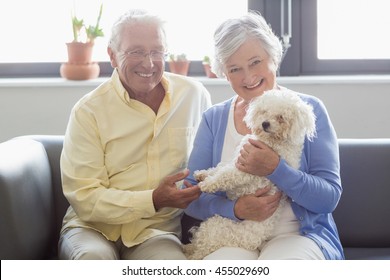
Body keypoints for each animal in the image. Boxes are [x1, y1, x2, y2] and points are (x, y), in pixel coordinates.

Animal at [184, 88, 316, 260]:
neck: (271, 141)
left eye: (281, 117)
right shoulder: (238, 158)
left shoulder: (246, 169)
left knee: (200, 249)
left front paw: (207, 184)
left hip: (215, 226)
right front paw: (202, 174)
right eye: (264, 111)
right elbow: (220, 167)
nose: (265, 123)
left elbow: (225, 175)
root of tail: (254, 242)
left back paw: (190, 251)